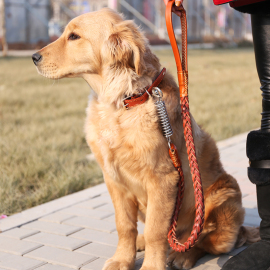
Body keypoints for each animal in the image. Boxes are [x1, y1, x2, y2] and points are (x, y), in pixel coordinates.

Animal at [32, 7, 260, 268]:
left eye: (74, 37)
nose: (34, 57)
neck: (123, 101)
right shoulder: (113, 179)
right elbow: (124, 226)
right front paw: (123, 258)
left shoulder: (163, 180)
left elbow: (155, 231)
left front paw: (151, 264)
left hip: (225, 195)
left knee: (204, 240)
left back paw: (183, 254)